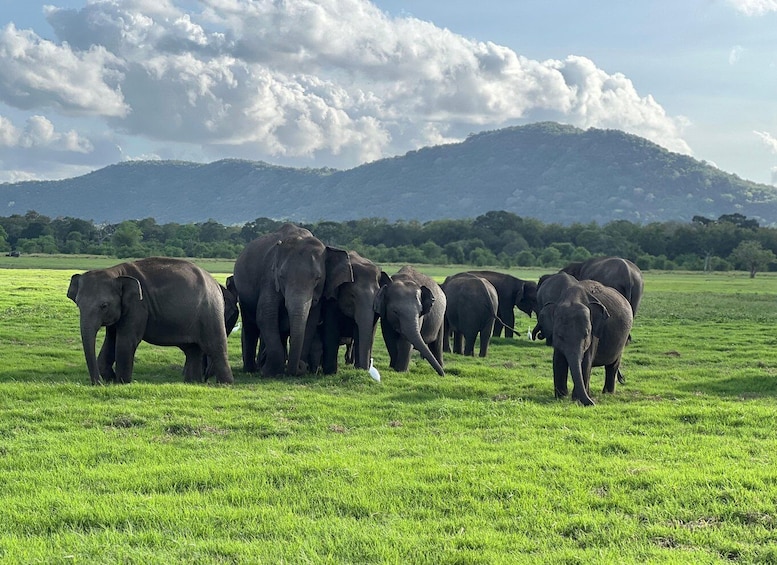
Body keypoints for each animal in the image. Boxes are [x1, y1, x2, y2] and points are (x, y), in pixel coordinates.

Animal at [66, 258, 233, 386]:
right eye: (78, 304)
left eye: (104, 305)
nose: (97, 383)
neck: (116, 272)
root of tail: (216, 284)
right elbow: (111, 341)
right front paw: (110, 378)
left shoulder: (138, 305)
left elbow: (125, 340)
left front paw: (121, 383)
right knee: (192, 350)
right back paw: (192, 383)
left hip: (210, 312)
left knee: (215, 347)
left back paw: (224, 385)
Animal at [230, 223, 352, 376]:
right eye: (282, 276)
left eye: (318, 278)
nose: (301, 366)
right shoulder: (269, 278)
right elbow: (266, 316)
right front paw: (269, 371)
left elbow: (311, 321)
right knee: (250, 326)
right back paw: (251, 369)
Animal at [532, 270, 632, 404]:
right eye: (559, 335)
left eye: (586, 334)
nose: (593, 403)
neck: (573, 297)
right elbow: (558, 360)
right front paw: (561, 397)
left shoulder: (595, 331)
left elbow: (586, 361)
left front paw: (576, 399)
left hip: (621, 341)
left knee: (613, 365)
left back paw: (608, 393)